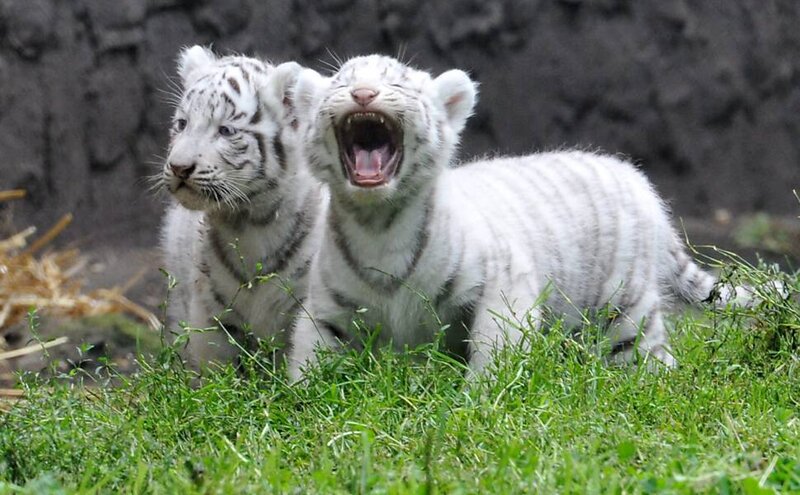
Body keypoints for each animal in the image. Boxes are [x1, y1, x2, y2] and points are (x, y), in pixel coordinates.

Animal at [286, 54, 748, 381]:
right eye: (342, 82)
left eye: (395, 81)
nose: (364, 94)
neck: (379, 223)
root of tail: (634, 178)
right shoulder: (327, 308)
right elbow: (309, 354)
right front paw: (300, 404)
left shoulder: (502, 281)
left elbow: (494, 346)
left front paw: (478, 400)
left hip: (625, 307)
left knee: (649, 355)